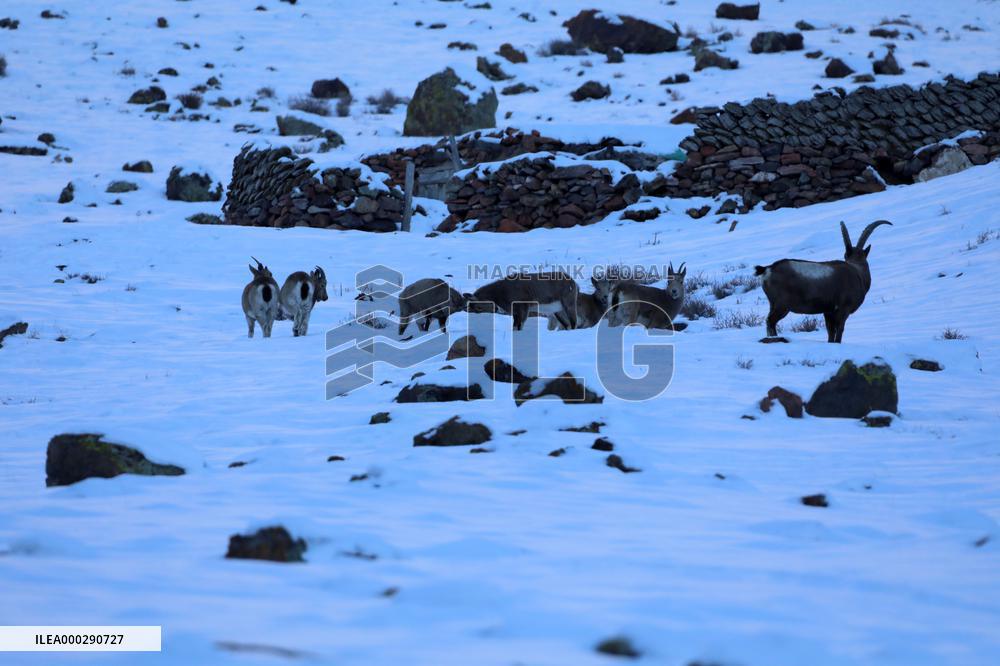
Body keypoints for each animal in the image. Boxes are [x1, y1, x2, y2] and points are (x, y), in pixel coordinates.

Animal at [755, 220, 892, 343]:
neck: (857, 272)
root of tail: (768, 269)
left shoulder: (828, 311)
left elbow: (830, 332)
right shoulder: (843, 309)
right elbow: (839, 330)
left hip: (774, 304)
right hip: (782, 305)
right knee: (771, 321)